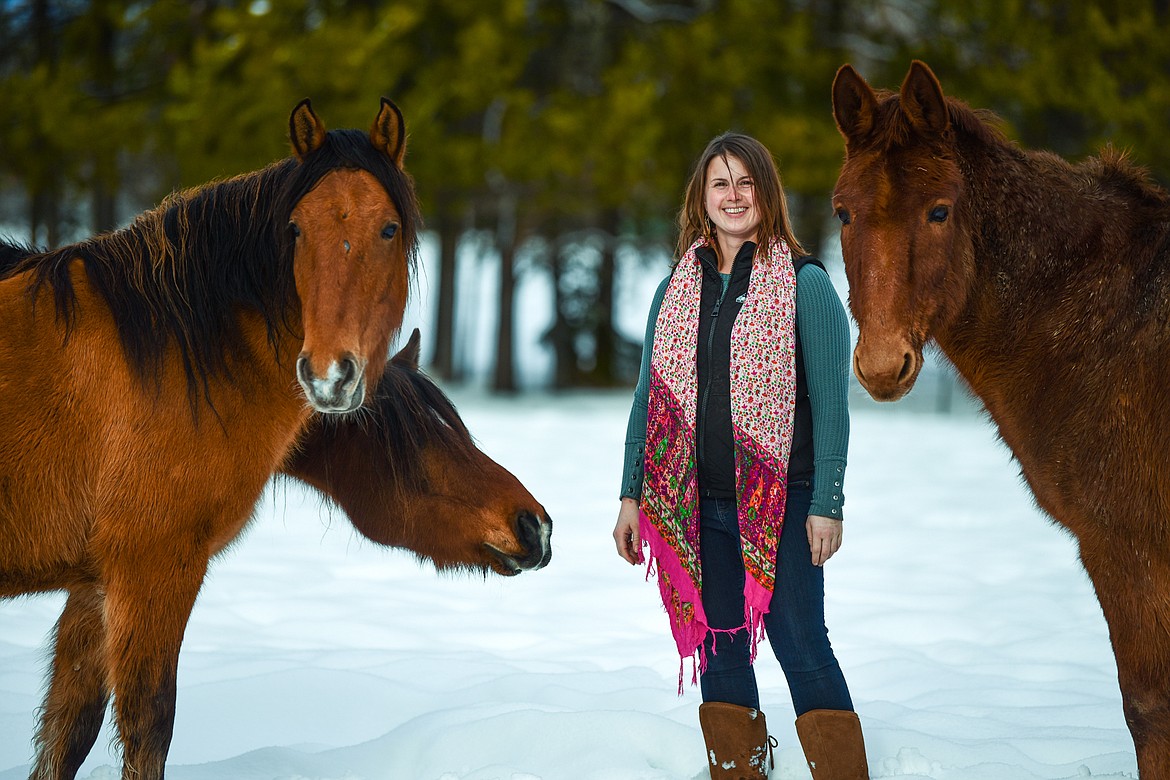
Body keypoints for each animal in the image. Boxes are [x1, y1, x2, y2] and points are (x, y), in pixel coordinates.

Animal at [0, 99, 547, 780]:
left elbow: (65, 733)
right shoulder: (151, 570)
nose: (532, 524)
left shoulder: (91, 586)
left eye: (389, 229)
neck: (169, 362)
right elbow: (149, 727)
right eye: (295, 230)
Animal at [833, 59, 1170, 776]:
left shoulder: (1125, 547)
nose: (881, 365)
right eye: (843, 212)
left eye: (940, 210)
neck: (1108, 324)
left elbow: (1149, 709)